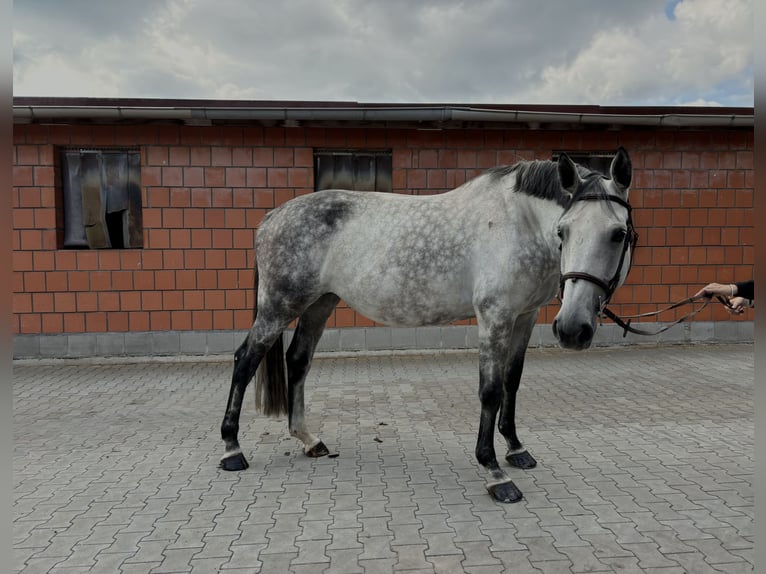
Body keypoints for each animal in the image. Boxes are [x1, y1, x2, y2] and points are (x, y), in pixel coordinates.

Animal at [219, 147, 635, 503]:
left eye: (618, 234)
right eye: (563, 231)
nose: (573, 329)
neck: (518, 222)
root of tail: (272, 218)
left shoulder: (524, 317)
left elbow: (512, 382)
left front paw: (516, 449)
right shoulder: (495, 316)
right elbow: (490, 391)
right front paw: (495, 473)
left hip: (320, 303)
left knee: (298, 360)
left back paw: (309, 440)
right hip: (279, 306)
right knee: (245, 359)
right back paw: (232, 449)